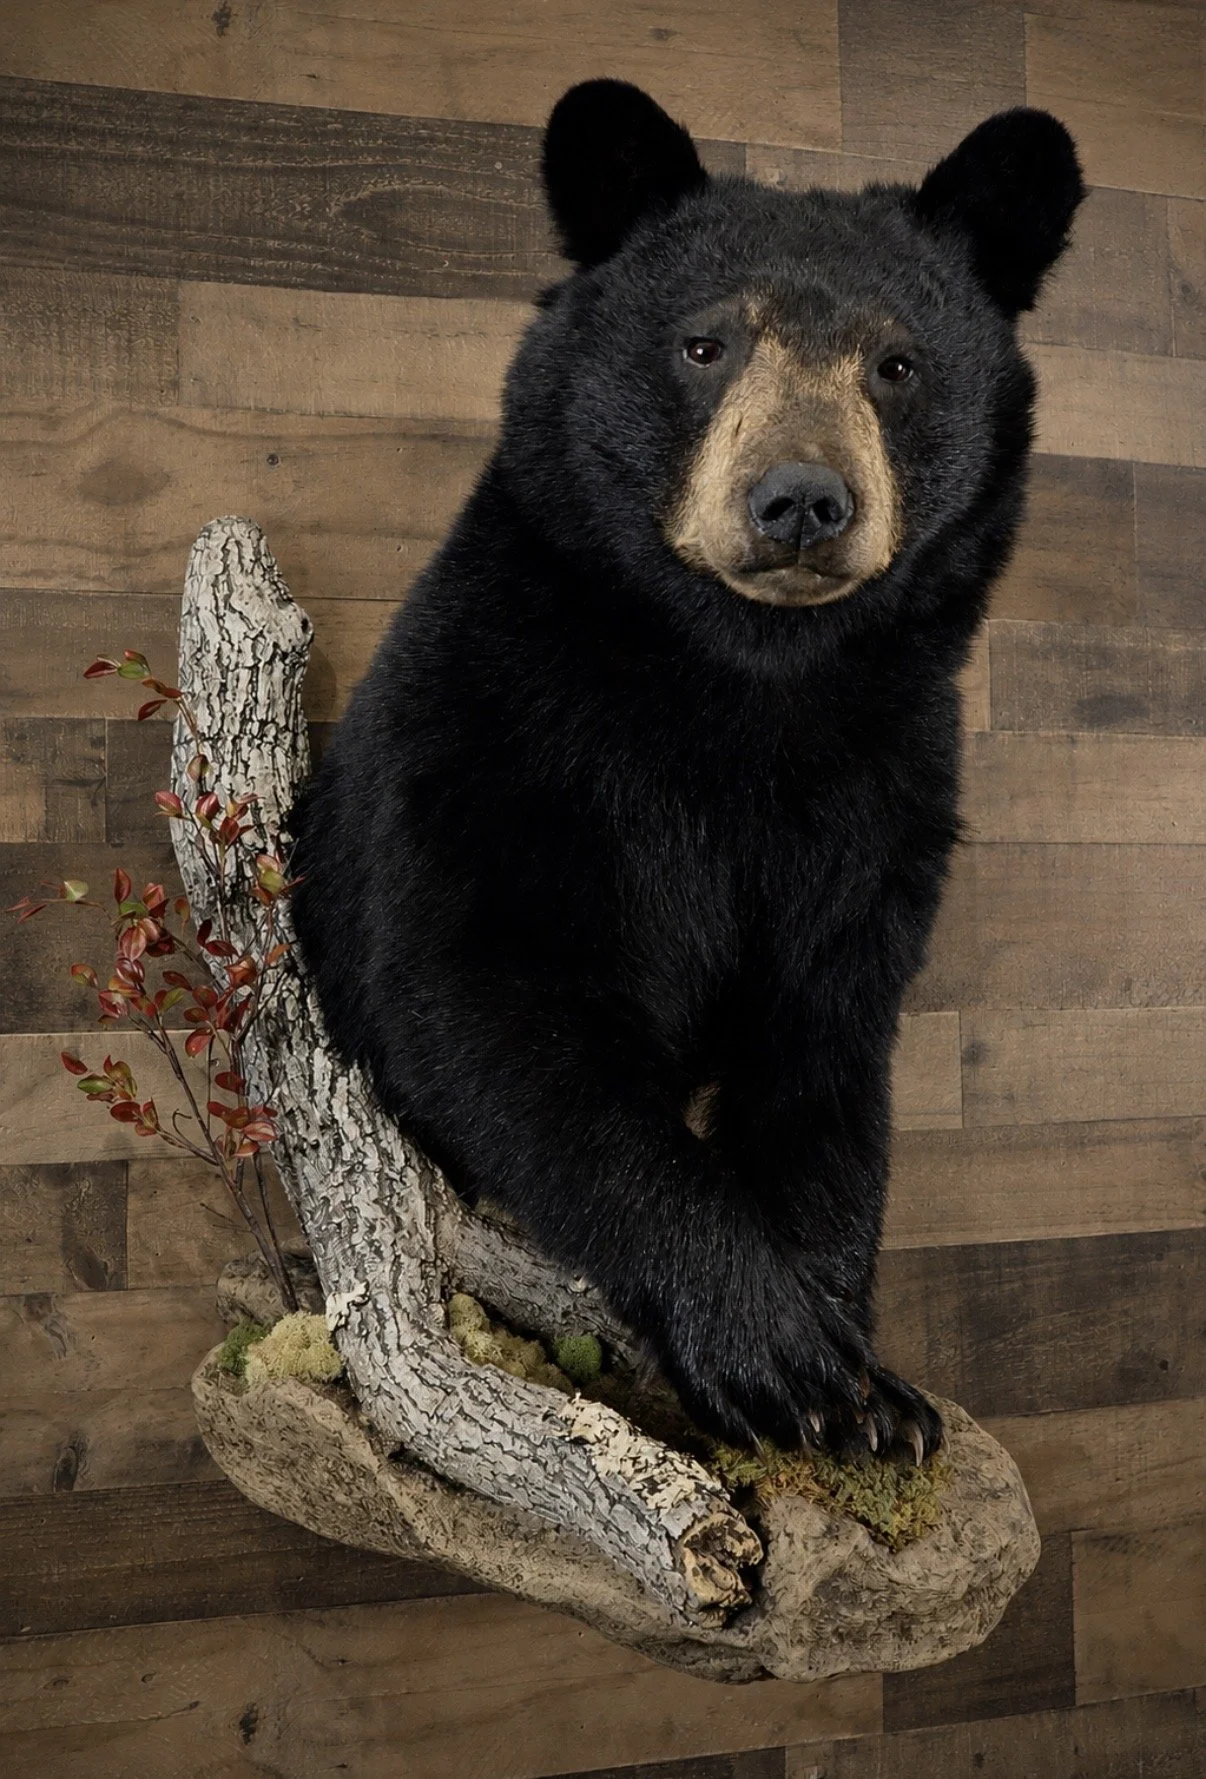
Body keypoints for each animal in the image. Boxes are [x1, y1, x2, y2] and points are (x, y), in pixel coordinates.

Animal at [291, 79, 1084, 1461]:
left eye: (897, 365)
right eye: (706, 346)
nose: (801, 500)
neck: (743, 686)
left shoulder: (881, 800)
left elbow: (827, 1056)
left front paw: (875, 1389)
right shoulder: (498, 731)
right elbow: (484, 1005)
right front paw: (781, 1357)